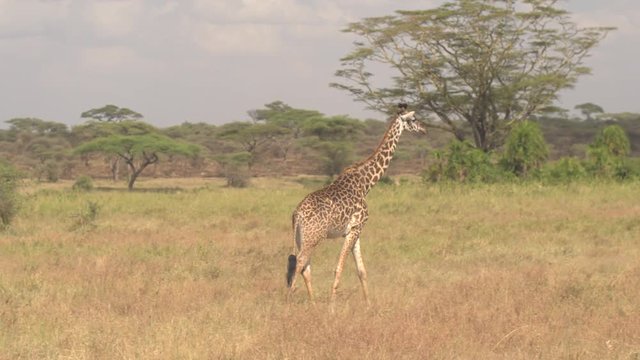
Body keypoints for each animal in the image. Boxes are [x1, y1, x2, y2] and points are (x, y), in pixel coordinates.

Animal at [284, 105, 424, 310]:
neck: (365, 184)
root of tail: (297, 214)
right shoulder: (355, 228)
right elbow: (339, 268)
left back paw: (314, 304)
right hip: (313, 236)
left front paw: (369, 305)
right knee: (300, 263)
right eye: (413, 119)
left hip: (302, 238)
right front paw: (332, 308)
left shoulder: (355, 231)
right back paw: (290, 302)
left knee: (304, 267)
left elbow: (361, 270)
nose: (424, 129)